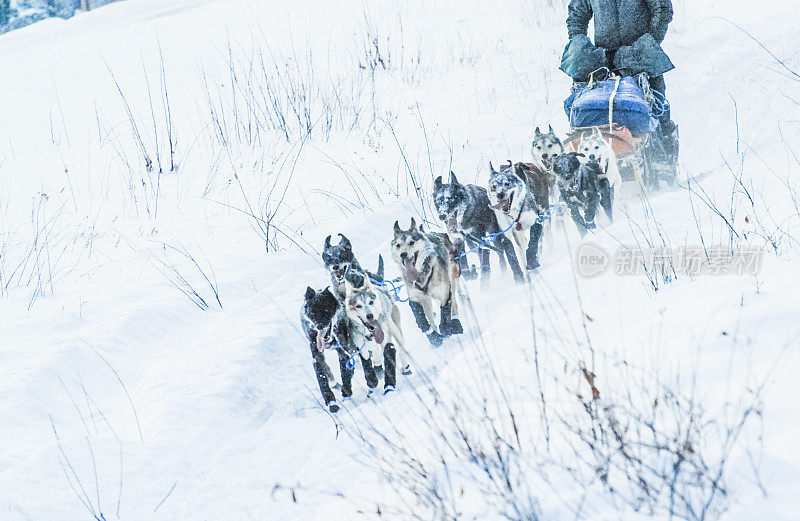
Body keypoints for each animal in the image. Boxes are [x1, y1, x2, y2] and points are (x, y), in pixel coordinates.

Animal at [390, 217, 460, 348]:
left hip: (452, 279)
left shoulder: (444, 293)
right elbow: (422, 319)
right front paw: (434, 337)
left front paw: (445, 328)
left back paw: (455, 321)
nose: (403, 254)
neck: (421, 274)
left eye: (411, 242)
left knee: (454, 302)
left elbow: (445, 310)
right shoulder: (417, 297)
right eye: (398, 245)